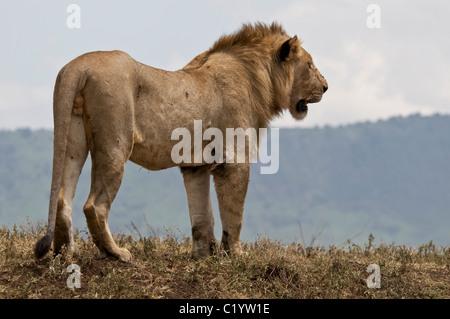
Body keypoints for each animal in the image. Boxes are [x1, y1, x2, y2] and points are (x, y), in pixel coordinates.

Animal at [34, 22, 326, 262]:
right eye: (310, 65)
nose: (325, 87)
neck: (260, 79)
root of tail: (77, 66)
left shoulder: (195, 166)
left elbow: (201, 216)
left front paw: (202, 255)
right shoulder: (234, 160)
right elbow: (234, 214)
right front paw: (235, 255)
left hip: (73, 139)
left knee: (63, 197)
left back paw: (66, 253)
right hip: (115, 143)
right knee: (94, 205)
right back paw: (115, 253)